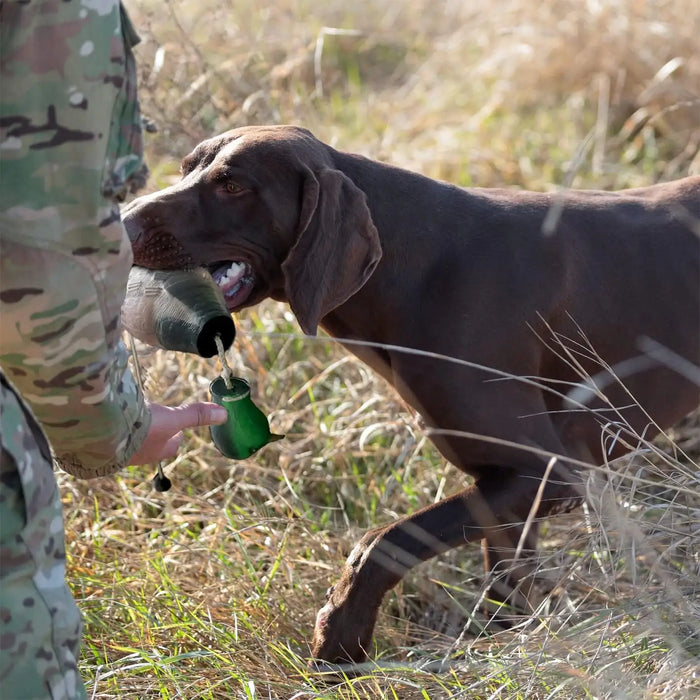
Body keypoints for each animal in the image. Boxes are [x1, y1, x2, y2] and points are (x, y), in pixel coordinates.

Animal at [123, 126, 700, 668]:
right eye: (186, 169)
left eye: (233, 185)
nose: (122, 222)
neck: (417, 270)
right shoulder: (507, 489)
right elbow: (505, 585)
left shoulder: (550, 473)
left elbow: (381, 542)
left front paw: (339, 639)